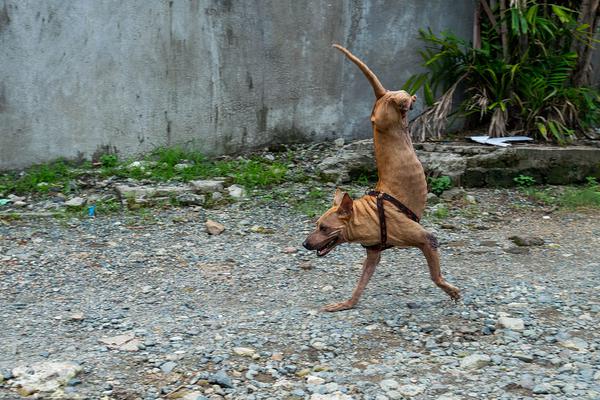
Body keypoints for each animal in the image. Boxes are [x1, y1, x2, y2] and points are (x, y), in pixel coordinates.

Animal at [302, 44, 462, 312]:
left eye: (324, 228)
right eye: (316, 225)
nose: (304, 244)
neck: (368, 217)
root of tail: (381, 96)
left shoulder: (427, 239)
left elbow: (434, 275)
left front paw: (450, 290)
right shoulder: (373, 255)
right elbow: (360, 285)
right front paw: (346, 304)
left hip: (391, 109)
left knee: (402, 96)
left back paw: (410, 101)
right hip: (384, 115)